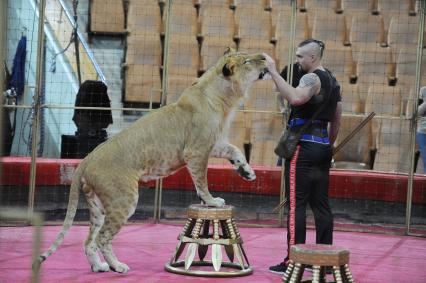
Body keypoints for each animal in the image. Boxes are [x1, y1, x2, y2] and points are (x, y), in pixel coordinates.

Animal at [35, 49, 270, 276]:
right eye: (247, 60)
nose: (265, 57)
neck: (223, 96)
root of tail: (86, 159)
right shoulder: (196, 151)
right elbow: (202, 182)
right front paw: (212, 201)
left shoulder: (215, 143)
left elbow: (235, 151)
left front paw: (247, 172)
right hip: (123, 199)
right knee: (102, 238)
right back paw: (117, 266)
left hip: (97, 205)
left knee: (89, 240)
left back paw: (98, 267)